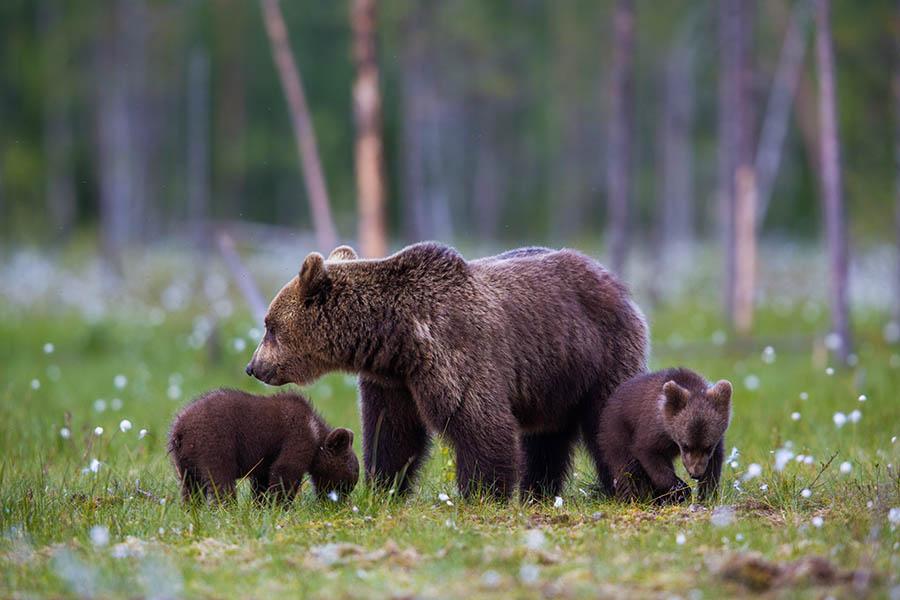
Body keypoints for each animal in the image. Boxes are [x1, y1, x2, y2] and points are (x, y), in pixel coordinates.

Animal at [168, 388, 359, 503]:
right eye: (345, 483)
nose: (338, 504)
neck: (317, 435)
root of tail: (180, 428)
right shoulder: (297, 435)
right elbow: (285, 470)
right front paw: (281, 505)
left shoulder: (266, 457)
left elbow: (262, 481)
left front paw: (261, 504)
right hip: (214, 442)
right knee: (221, 479)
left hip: (183, 459)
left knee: (190, 486)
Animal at [245, 242, 649, 500]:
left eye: (269, 326)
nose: (253, 366)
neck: (397, 337)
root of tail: (615, 281)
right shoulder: (392, 381)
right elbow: (392, 432)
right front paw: (384, 487)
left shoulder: (456, 352)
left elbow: (481, 425)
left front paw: (483, 493)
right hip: (553, 382)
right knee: (545, 439)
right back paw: (538, 491)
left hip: (600, 355)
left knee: (609, 416)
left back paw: (631, 487)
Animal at [598, 368, 732, 504]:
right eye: (686, 446)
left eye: (708, 447)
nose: (695, 474)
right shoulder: (654, 431)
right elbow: (650, 456)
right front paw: (682, 490)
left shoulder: (716, 442)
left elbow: (713, 466)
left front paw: (707, 496)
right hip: (617, 431)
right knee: (626, 468)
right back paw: (631, 499)